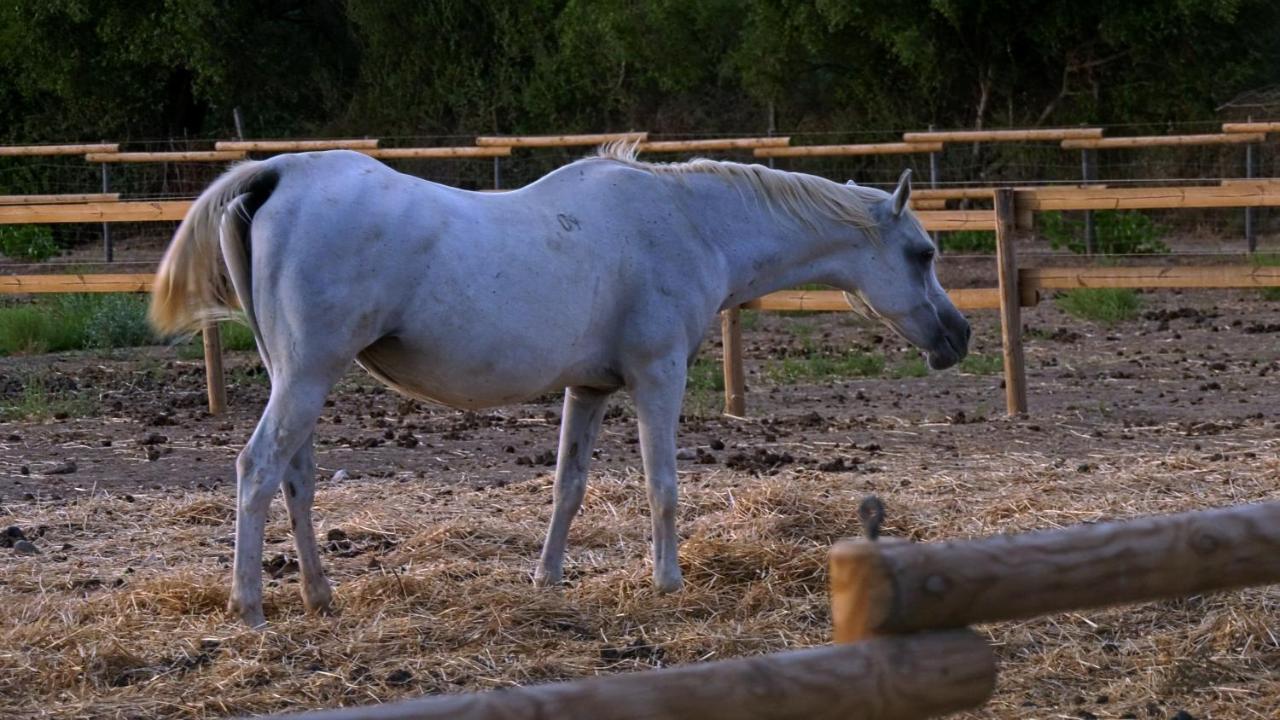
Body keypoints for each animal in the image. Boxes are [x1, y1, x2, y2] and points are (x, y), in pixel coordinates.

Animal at [149, 142, 962, 625]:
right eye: (922, 254)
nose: (959, 338)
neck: (688, 221)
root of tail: (278, 173)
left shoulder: (590, 390)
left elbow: (568, 487)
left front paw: (547, 578)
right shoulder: (658, 375)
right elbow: (663, 486)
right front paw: (668, 581)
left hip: (299, 379)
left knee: (295, 481)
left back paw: (321, 596)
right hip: (306, 378)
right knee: (257, 470)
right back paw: (250, 606)